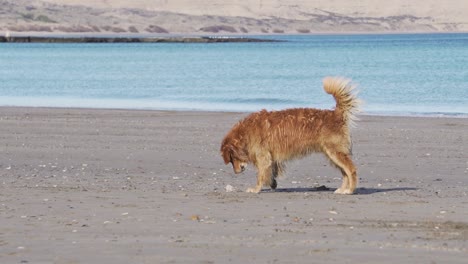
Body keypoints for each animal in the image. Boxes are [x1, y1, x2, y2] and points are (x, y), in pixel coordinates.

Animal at [221, 76, 360, 194]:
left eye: (231, 159)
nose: (236, 172)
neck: (245, 133)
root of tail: (336, 114)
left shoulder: (263, 157)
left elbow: (261, 175)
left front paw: (256, 189)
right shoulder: (270, 158)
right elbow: (271, 172)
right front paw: (272, 183)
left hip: (335, 153)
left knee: (351, 170)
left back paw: (350, 190)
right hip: (331, 154)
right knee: (344, 173)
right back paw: (342, 189)